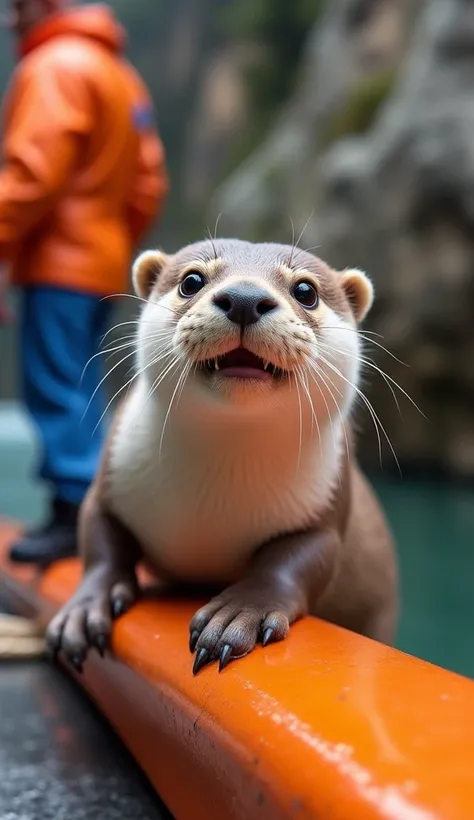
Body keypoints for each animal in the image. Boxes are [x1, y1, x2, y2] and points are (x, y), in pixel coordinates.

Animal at [47, 237, 396, 672]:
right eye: (192, 281)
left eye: (306, 291)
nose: (245, 298)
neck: (213, 509)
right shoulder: (110, 479)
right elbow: (99, 543)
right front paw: (83, 610)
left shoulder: (325, 508)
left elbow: (295, 563)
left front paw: (240, 612)